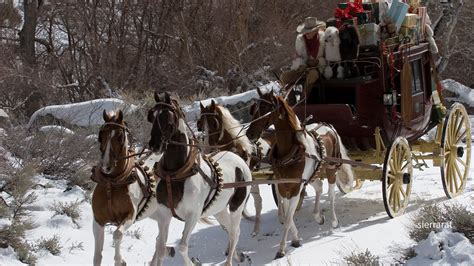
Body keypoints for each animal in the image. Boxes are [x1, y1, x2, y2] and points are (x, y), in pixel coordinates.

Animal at [149, 92, 254, 266]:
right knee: (229, 229)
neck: (176, 174)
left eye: (168, 117)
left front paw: (194, 262)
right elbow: (161, 247)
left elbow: (182, 247)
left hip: (236, 206)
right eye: (151, 116)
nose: (154, 145)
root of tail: (237, 157)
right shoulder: (164, 215)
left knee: (234, 231)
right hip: (219, 210)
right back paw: (238, 256)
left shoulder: (193, 215)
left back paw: (230, 261)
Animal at [246, 88, 354, 258]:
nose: (249, 134)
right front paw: (296, 238)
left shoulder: (296, 187)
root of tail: (329, 126)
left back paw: (334, 221)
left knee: (331, 195)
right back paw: (318, 216)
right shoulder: (283, 186)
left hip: (331, 169)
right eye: (254, 108)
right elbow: (287, 215)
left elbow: (288, 218)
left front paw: (282, 249)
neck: (291, 150)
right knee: (319, 187)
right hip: (312, 175)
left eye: (265, 109)